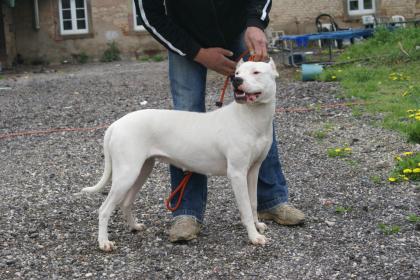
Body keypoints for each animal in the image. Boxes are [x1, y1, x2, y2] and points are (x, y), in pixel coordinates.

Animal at [81, 59, 278, 252]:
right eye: (237, 73)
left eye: (256, 72)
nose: (236, 81)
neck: (251, 117)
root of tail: (116, 124)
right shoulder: (237, 174)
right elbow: (245, 208)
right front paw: (253, 237)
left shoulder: (253, 171)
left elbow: (253, 202)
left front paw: (257, 225)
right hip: (127, 174)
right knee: (104, 209)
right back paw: (104, 243)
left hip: (141, 171)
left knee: (126, 202)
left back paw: (134, 226)